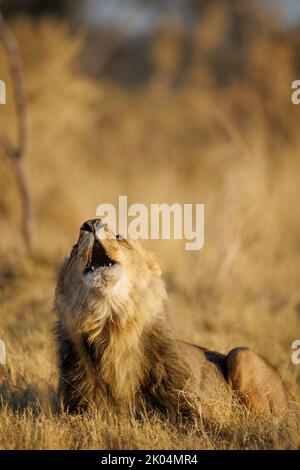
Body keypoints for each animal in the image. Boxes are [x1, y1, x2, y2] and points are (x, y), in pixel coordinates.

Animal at [54, 218, 298, 424]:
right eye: (74, 248)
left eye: (120, 236)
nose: (91, 223)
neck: (113, 325)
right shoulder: (78, 407)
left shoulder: (185, 407)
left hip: (242, 355)